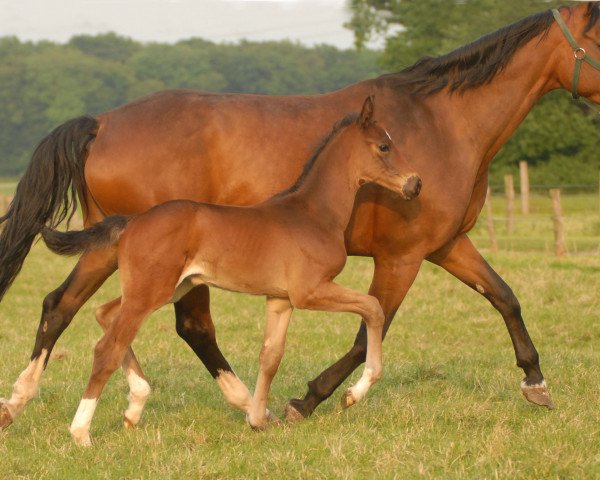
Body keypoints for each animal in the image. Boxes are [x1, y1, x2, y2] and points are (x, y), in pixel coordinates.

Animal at [43, 97, 422, 446]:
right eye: (384, 145)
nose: (415, 184)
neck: (313, 213)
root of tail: (132, 222)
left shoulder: (280, 299)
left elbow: (271, 356)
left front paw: (258, 419)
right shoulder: (310, 290)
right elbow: (374, 308)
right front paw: (355, 393)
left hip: (166, 288)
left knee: (105, 314)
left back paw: (134, 406)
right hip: (152, 291)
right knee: (108, 346)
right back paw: (81, 432)